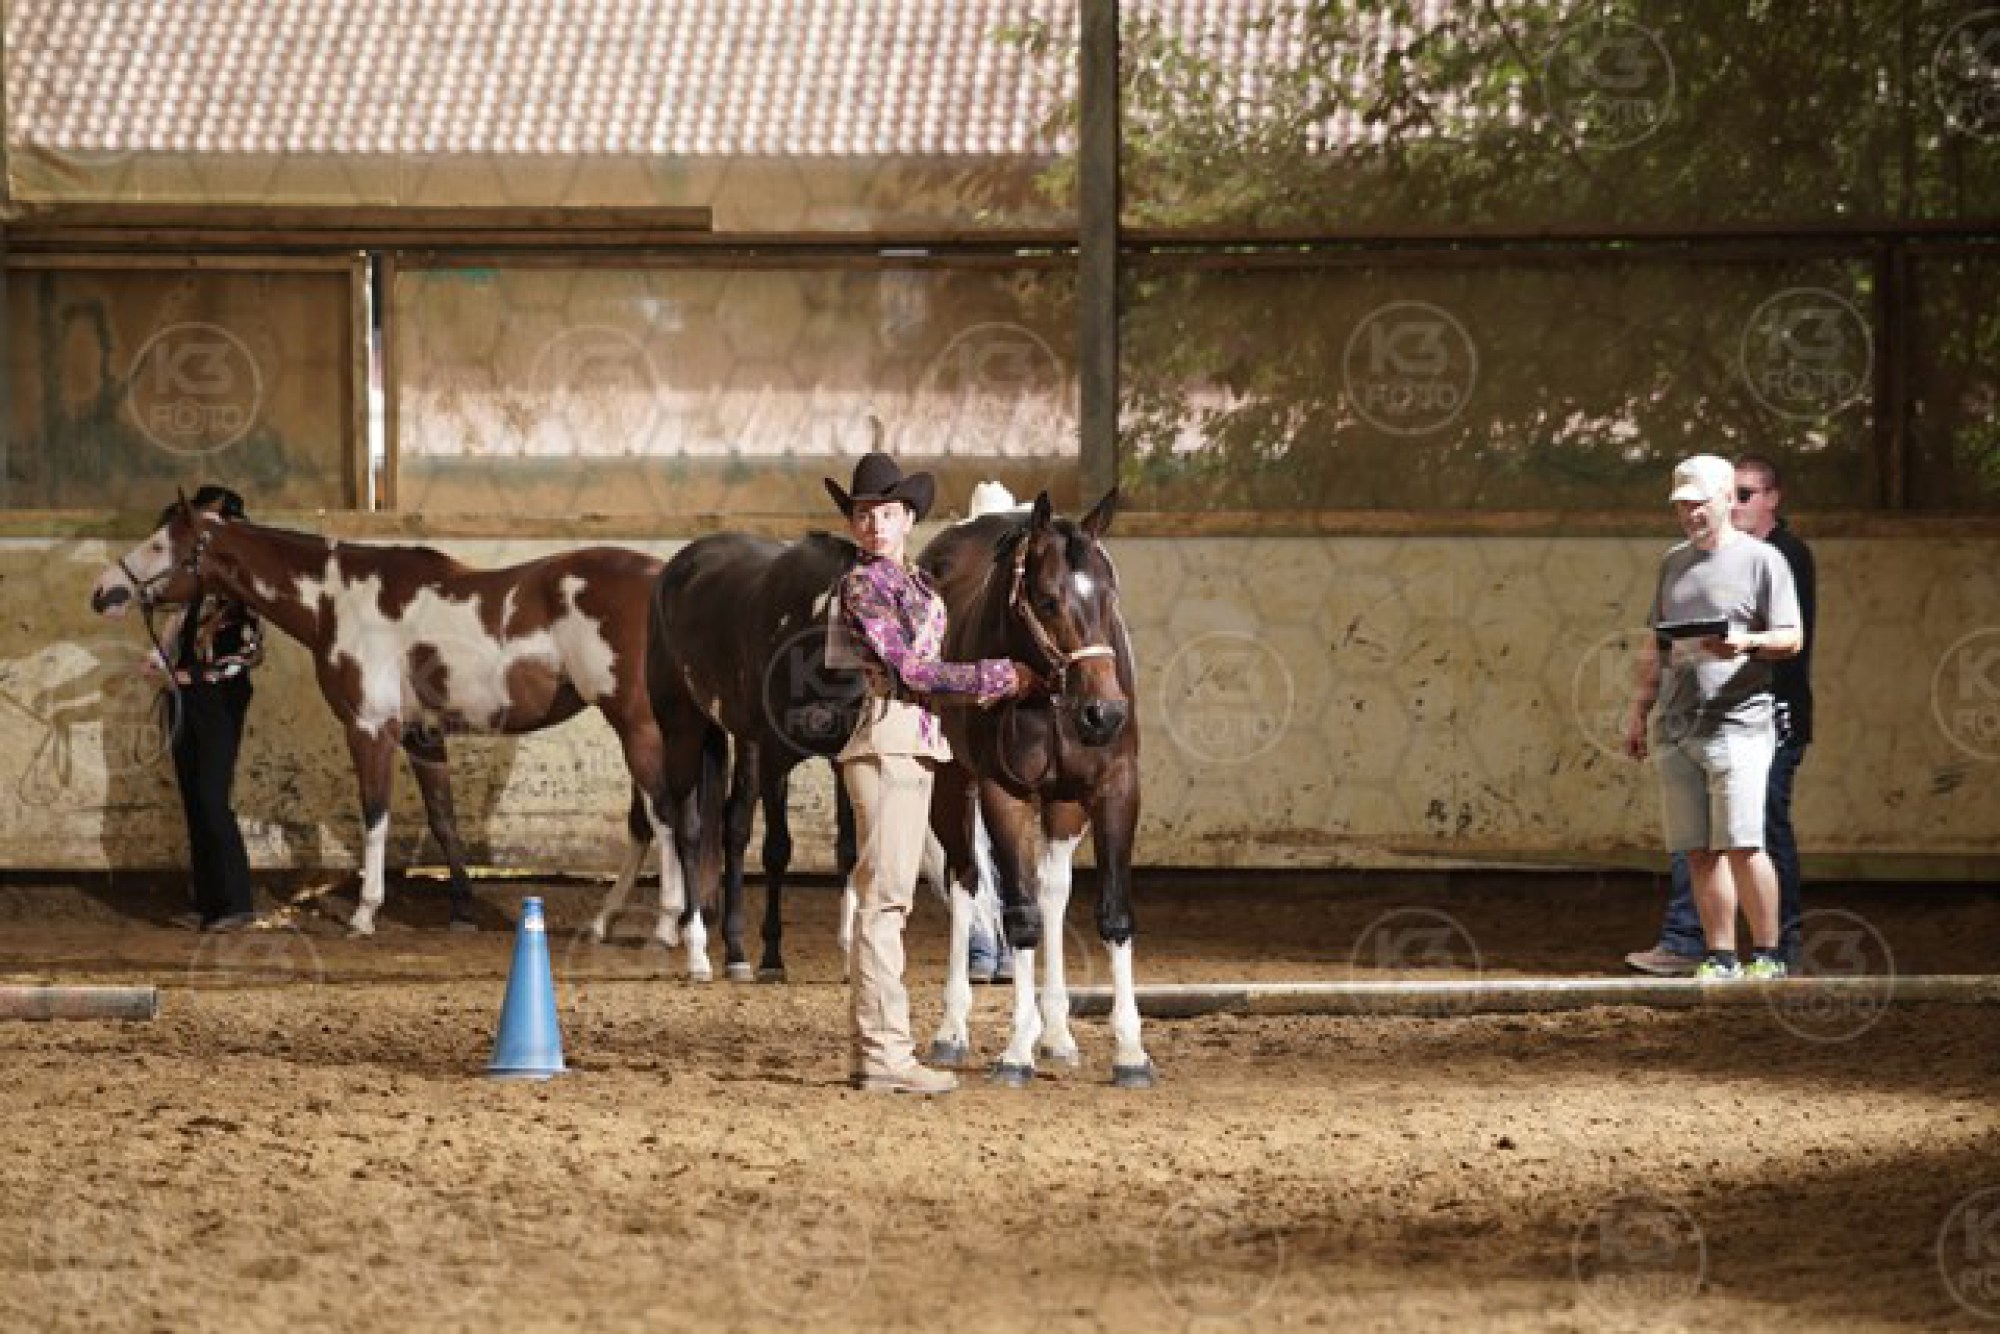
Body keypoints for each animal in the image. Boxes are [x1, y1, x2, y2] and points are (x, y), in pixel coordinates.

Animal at [89, 498, 718, 971]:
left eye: (158, 544)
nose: (102, 591)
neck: (337, 602)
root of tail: (661, 581)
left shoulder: (370, 729)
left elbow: (374, 815)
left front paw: (365, 914)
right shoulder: (421, 736)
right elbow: (443, 822)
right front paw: (462, 912)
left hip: (637, 727)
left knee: (665, 819)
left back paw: (667, 927)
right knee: (649, 823)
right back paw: (605, 922)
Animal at [918, 488, 1155, 1088]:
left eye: (1110, 595)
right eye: (1047, 601)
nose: (1105, 714)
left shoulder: (1116, 789)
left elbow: (1112, 914)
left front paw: (1130, 1053)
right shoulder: (1005, 793)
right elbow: (1019, 915)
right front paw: (1014, 1053)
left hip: (1065, 805)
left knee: (1052, 891)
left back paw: (1058, 1035)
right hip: (951, 786)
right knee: (966, 881)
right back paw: (954, 1031)